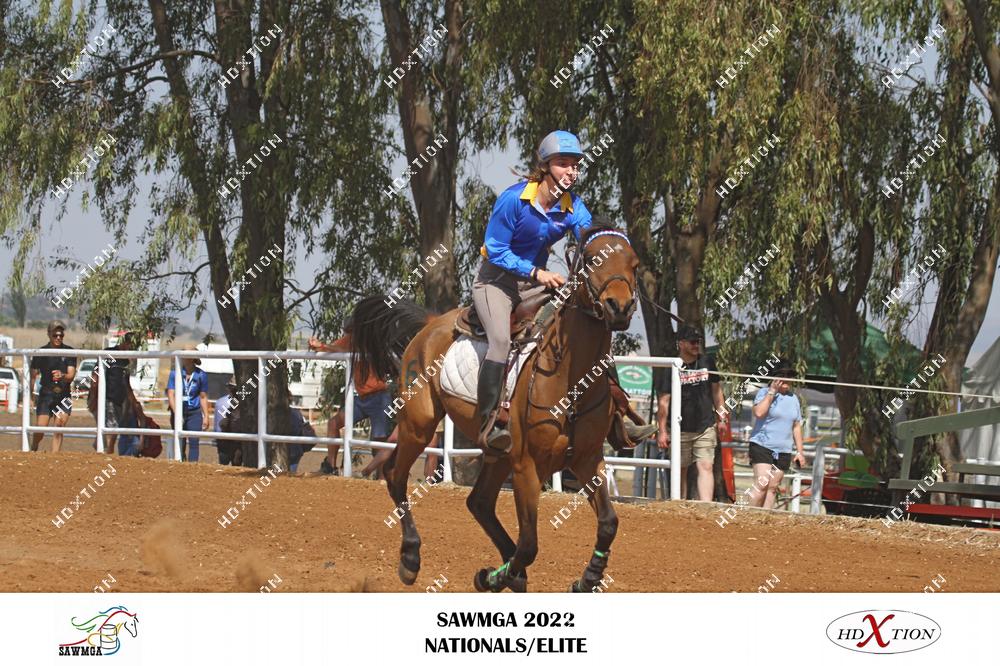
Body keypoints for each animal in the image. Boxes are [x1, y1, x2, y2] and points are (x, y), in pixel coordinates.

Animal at [350, 222, 639, 592]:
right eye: (590, 259)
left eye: (634, 263)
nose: (619, 306)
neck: (571, 379)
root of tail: (430, 324)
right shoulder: (526, 466)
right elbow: (529, 545)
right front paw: (493, 575)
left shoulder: (588, 459)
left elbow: (608, 523)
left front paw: (587, 578)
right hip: (419, 425)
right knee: (395, 476)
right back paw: (411, 559)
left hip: (495, 454)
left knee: (479, 502)